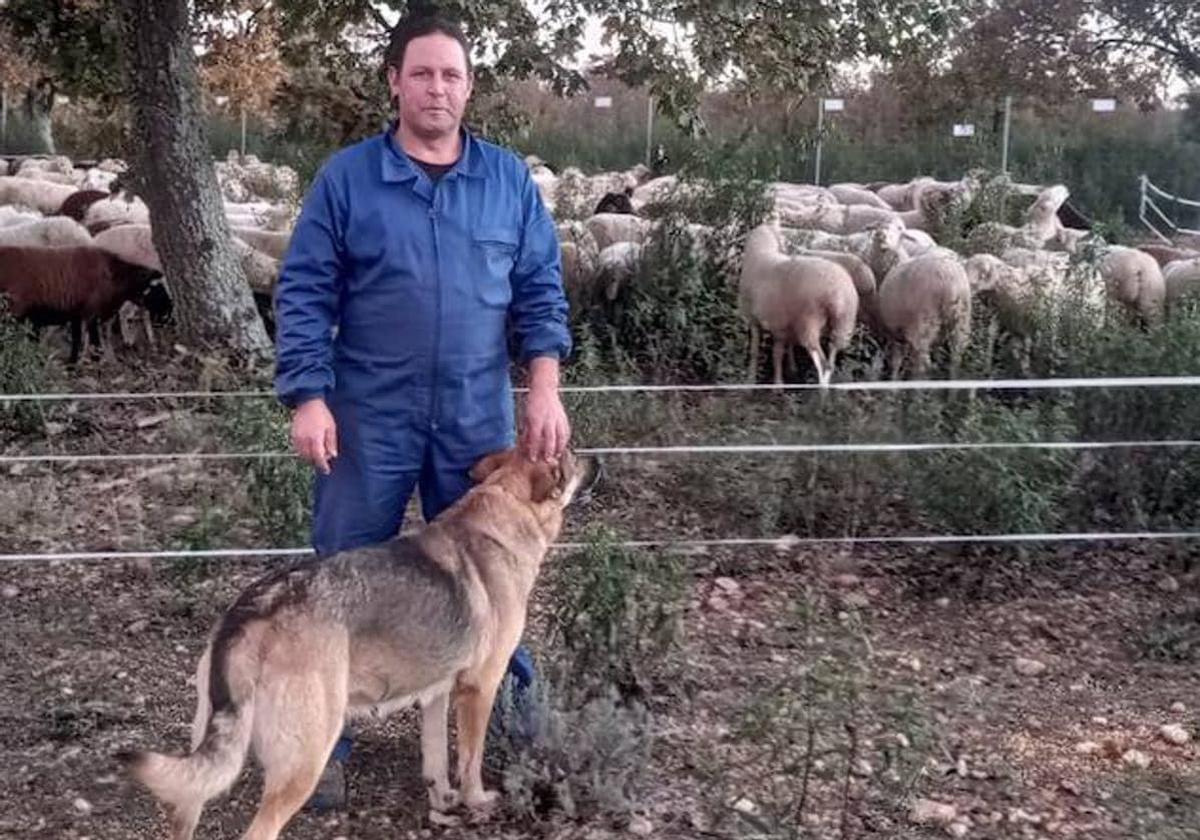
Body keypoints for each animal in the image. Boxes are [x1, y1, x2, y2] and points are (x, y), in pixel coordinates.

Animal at [121, 448, 600, 835]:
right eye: (571, 455)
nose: (598, 461)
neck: (501, 507)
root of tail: (252, 612)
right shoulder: (479, 689)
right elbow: (470, 760)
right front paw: (476, 802)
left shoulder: (437, 692)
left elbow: (435, 760)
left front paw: (443, 803)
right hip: (307, 756)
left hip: (201, 768)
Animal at [734, 218, 859, 386]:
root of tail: (838, 293)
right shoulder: (785, 325)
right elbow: (782, 350)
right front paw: (789, 370)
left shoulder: (757, 320)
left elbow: (761, 352)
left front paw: (756, 380)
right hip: (842, 325)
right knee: (831, 360)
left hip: (810, 323)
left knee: (823, 364)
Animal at [878, 247, 969, 379]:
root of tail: (948, 281)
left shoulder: (894, 333)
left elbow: (896, 360)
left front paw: (893, 380)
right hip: (961, 320)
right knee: (956, 354)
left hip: (923, 323)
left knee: (923, 363)